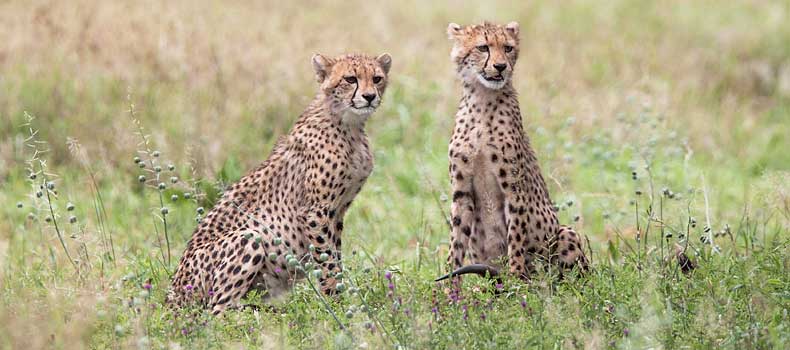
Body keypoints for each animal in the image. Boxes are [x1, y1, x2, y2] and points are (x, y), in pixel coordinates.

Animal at [169, 52, 392, 314]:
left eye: (377, 78)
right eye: (350, 79)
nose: (369, 96)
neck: (348, 123)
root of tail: (172, 294)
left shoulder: (337, 212)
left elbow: (335, 255)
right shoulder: (316, 212)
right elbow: (327, 261)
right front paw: (337, 303)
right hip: (248, 237)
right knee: (217, 310)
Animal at [442, 21, 592, 282]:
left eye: (508, 48)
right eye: (483, 47)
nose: (500, 66)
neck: (483, 99)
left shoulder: (514, 190)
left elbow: (516, 238)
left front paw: (517, 280)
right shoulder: (461, 193)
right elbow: (456, 242)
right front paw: (449, 287)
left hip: (566, 234)